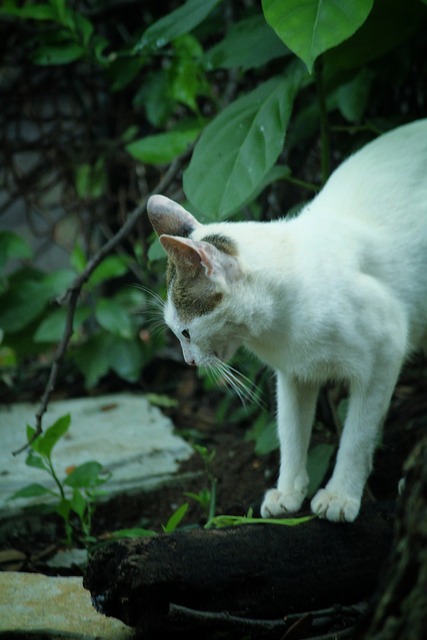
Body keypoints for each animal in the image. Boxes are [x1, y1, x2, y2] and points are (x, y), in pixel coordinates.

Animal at [147, 120, 427, 520]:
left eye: (185, 332)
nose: (188, 362)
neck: (279, 326)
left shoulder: (386, 352)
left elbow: (357, 434)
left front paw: (340, 495)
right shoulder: (294, 373)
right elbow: (290, 430)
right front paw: (289, 491)